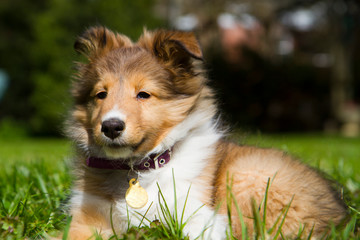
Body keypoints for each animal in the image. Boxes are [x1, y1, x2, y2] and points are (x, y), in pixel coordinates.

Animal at [64, 26, 346, 238]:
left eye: (143, 94)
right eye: (101, 94)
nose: (111, 126)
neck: (137, 168)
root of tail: (340, 215)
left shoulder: (199, 216)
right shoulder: (88, 216)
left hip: (247, 174)